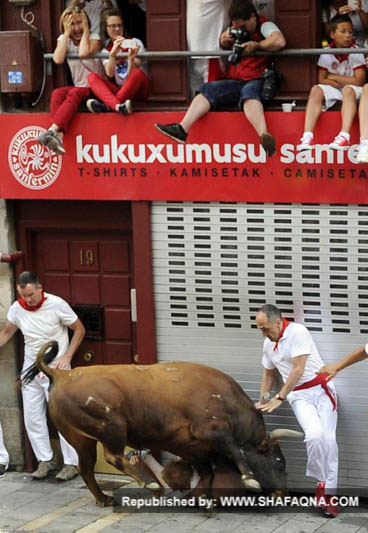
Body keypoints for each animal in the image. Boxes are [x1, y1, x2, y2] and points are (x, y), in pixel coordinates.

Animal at [22, 340, 302, 508]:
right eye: (279, 461)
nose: (283, 494)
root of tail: (62, 374)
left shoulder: (194, 448)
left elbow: (208, 472)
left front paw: (206, 498)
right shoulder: (214, 431)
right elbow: (235, 451)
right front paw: (250, 479)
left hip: (81, 439)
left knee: (86, 468)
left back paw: (104, 498)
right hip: (111, 428)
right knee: (112, 457)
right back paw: (150, 483)